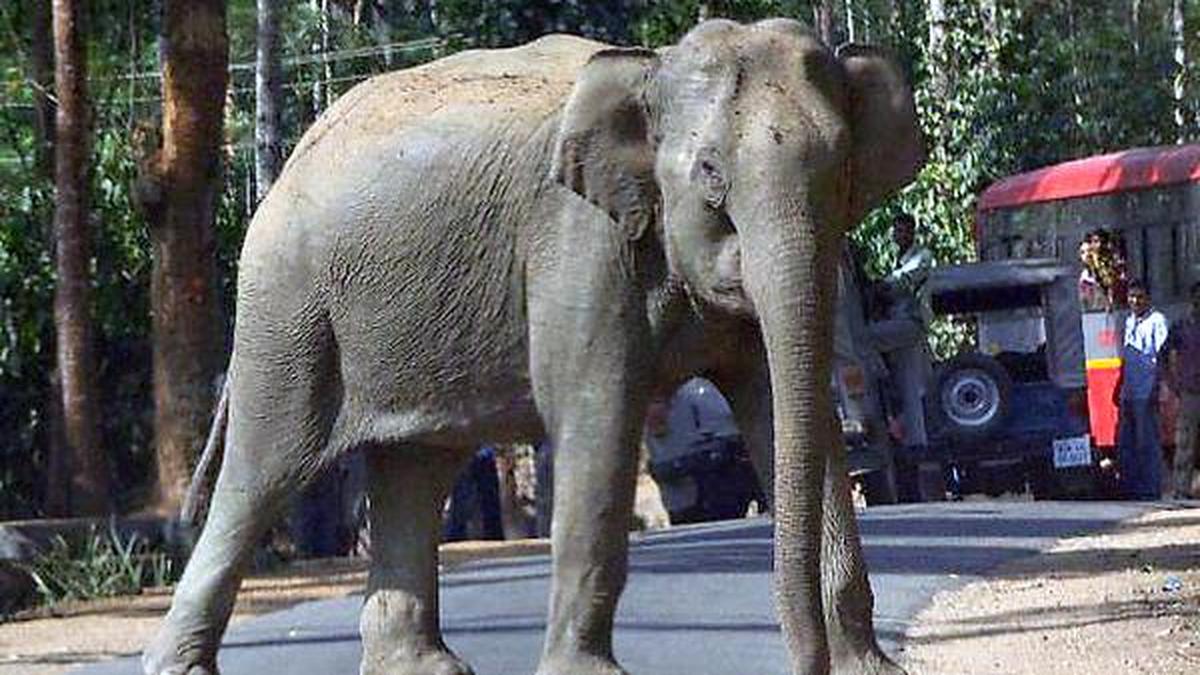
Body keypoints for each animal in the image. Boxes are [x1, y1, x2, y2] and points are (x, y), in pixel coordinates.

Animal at [143, 17, 923, 675]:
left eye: (844, 170)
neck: (651, 68)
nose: (804, 662)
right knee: (263, 471)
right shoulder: (576, 241)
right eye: (709, 174)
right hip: (289, 306)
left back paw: (423, 669)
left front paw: (870, 670)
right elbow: (598, 414)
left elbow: (788, 410)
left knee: (415, 468)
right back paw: (180, 666)